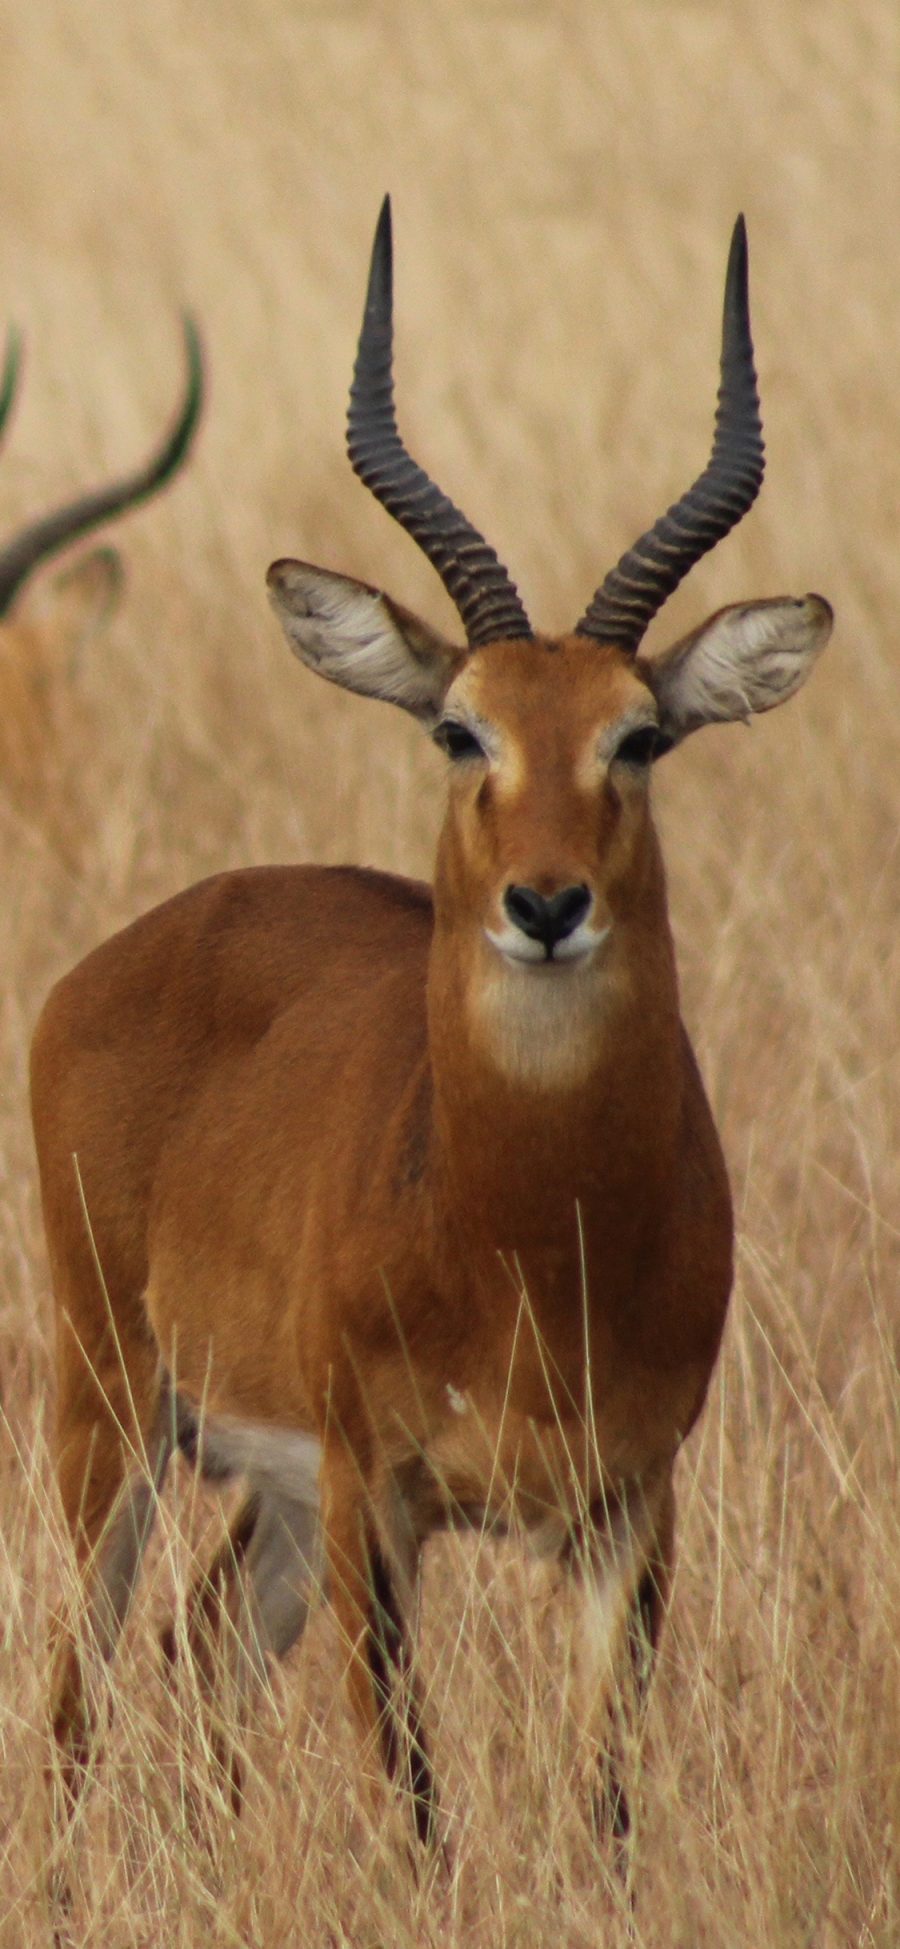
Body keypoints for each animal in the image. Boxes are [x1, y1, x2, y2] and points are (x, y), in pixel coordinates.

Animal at [31, 201, 833, 1855]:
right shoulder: (377, 1491)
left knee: (197, 1654)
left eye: (639, 736)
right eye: (461, 726)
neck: (527, 1236)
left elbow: (600, 1817)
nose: (546, 901)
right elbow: (413, 1808)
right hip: (116, 1407)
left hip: (260, 1491)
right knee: (75, 1704)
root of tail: (134, 945)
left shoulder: (629, 1507)